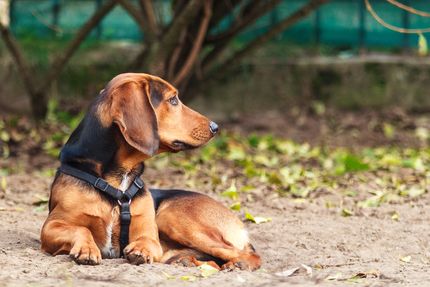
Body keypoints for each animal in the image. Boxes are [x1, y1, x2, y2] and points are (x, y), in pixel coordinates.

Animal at [41, 73, 262, 272]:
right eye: (173, 100)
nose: (215, 127)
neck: (118, 181)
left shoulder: (149, 234)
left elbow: (147, 242)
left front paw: (140, 250)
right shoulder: (51, 226)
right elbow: (81, 228)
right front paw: (87, 248)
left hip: (170, 216)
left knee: (247, 254)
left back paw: (239, 264)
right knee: (215, 262)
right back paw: (187, 261)